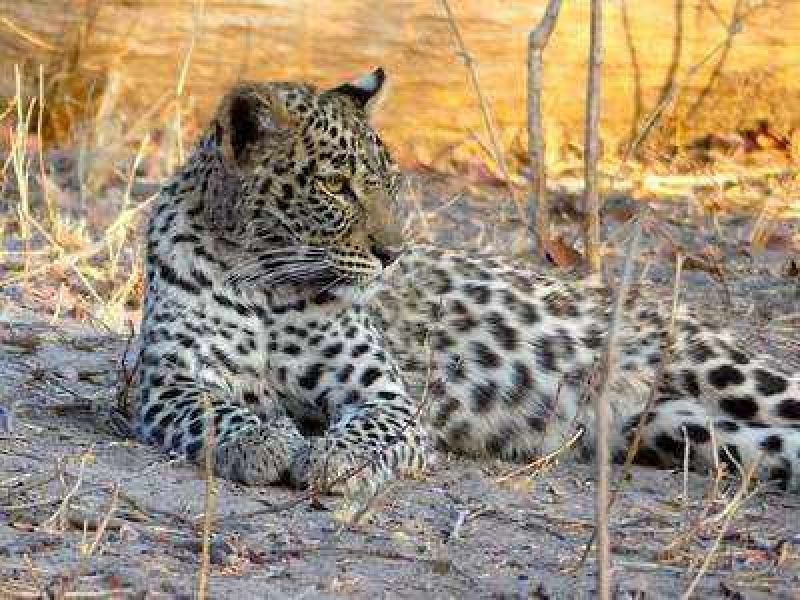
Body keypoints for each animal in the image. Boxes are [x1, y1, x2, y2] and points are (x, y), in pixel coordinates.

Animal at [133, 67, 800, 517]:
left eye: (390, 184)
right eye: (334, 186)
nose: (392, 254)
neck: (268, 285)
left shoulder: (388, 399)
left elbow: (370, 430)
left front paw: (331, 458)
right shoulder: (164, 382)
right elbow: (213, 410)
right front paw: (264, 441)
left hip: (727, 375)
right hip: (695, 431)